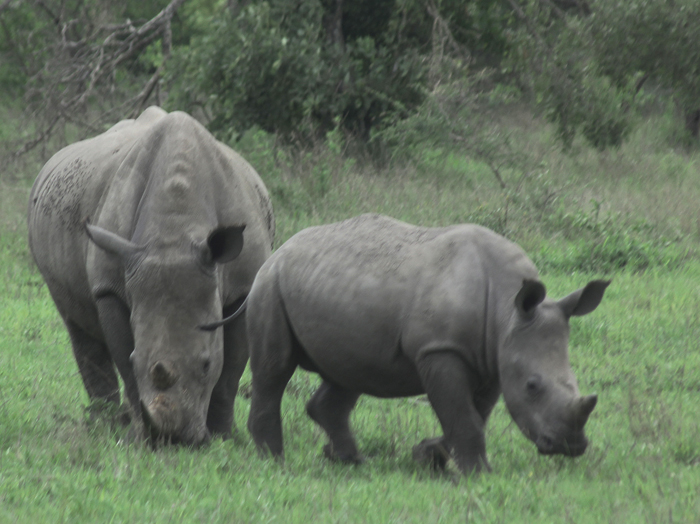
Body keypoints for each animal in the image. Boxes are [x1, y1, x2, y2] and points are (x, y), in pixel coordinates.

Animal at [28, 106, 274, 446]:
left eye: (206, 364)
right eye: (136, 360)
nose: (176, 439)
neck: (174, 233)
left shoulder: (244, 287)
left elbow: (231, 371)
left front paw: (224, 437)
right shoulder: (109, 287)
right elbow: (124, 359)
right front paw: (138, 437)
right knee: (76, 323)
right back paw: (105, 424)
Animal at [246, 213, 608, 474]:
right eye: (533, 386)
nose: (571, 447)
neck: (507, 311)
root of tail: (280, 248)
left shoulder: (494, 357)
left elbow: (475, 414)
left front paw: (427, 456)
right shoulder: (440, 349)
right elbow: (463, 415)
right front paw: (479, 474)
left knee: (349, 372)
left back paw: (352, 461)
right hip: (269, 285)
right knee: (274, 370)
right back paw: (273, 461)